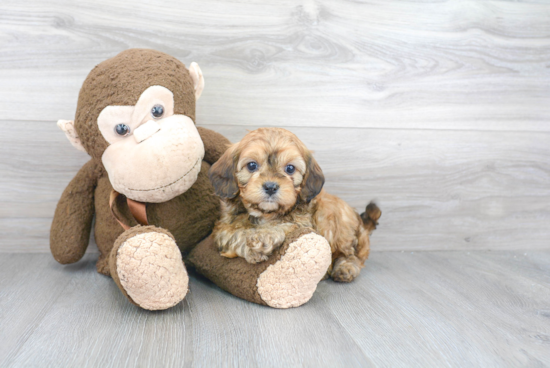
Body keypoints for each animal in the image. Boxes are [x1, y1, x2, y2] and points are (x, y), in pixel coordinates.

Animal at [209, 126, 382, 282]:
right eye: (252, 165)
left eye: (290, 168)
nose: (270, 186)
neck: (266, 214)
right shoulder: (223, 227)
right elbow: (235, 233)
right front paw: (255, 244)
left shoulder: (304, 224)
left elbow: (285, 226)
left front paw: (264, 237)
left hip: (338, 222)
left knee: (351, 255)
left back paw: (345, 267)